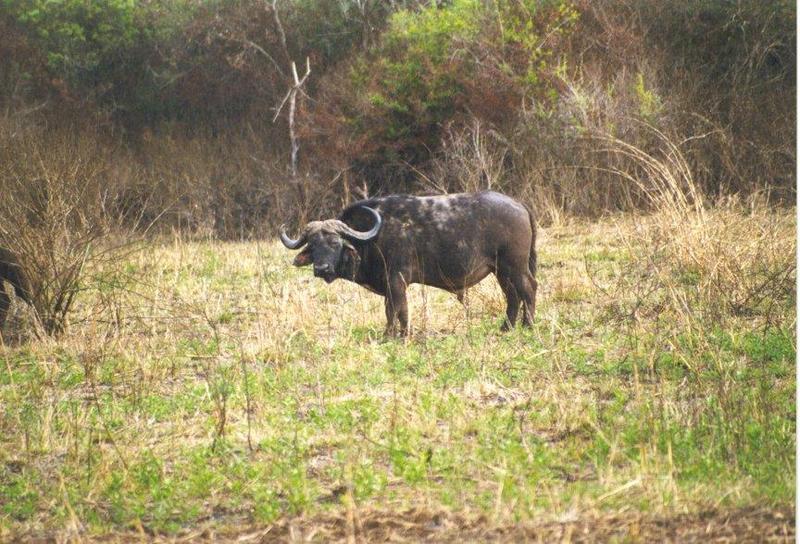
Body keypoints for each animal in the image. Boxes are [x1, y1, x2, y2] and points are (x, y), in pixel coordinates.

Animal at [282, 191, 536, 336]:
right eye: (313, 245)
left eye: (335, 243)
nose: (321, 269)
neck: (373, 237)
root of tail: (519, 204)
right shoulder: (388, 285)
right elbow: (391, 310)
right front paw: (391, 334)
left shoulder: (397, 281)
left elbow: (399, 309)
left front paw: (401, 334)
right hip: (501, 271)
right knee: (513, 295)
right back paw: (507, 327)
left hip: (514, 267)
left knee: (528, 289)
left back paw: (528, 325)